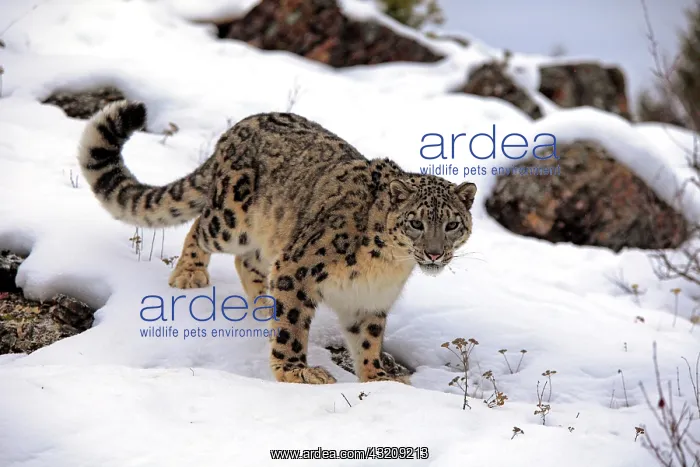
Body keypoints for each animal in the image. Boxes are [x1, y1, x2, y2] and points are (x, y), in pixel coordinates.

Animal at [77, 100, 477, 385]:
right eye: (416, 223)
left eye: (452, 224)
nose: (434, 253)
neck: (387, 266)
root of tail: (237, 127)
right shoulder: (298, 267)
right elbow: (293, 328)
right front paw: (296, 371)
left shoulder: (369, 300)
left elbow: (368, 339)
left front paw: (378, 377)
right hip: (231, 219)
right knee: (200, 227)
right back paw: (190, 274)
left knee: (248, 261)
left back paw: (263, 303)